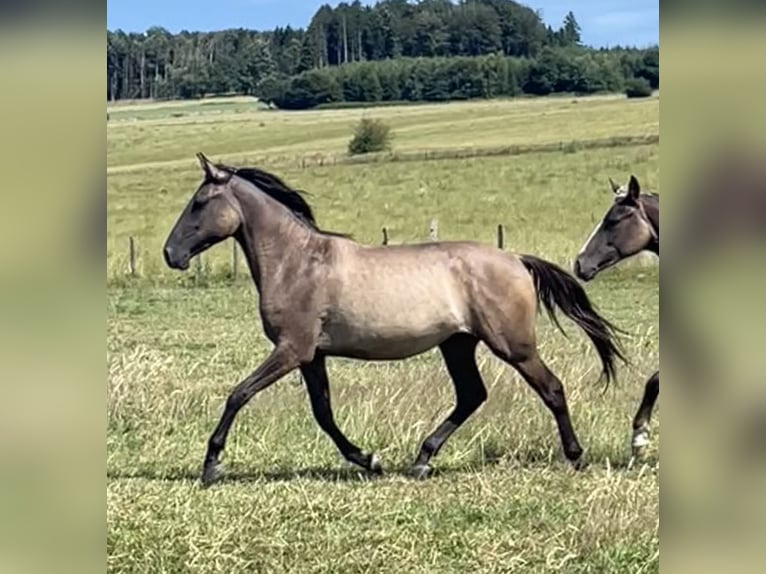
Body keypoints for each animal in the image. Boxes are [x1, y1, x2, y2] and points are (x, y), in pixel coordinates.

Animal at [163, 153, 626, 486]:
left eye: (199, 203)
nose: (171, 254)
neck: (297, 262)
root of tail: (516, 259)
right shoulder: (311, 355)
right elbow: (323, 413)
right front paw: (368, 460)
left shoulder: (292, 349)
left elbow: (238, 394)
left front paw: (211, 465)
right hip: (457, 344)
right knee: (471, 395)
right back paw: (421, 460)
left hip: (513, 345)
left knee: (551, 388)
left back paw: (575, 456)